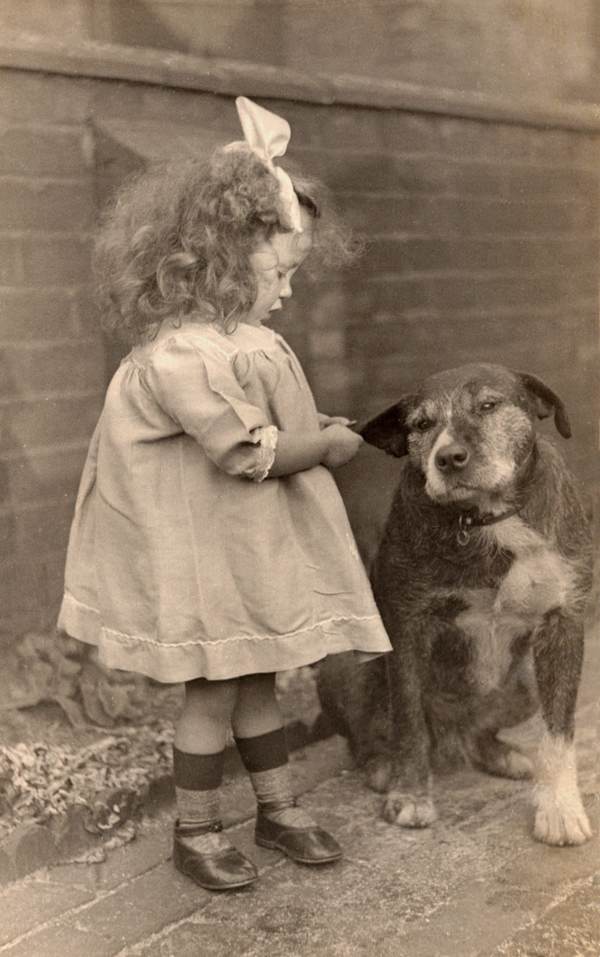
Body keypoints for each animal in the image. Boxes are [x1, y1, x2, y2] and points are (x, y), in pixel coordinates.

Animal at [316, 360, 592, 844]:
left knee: (482, 732)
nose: (448, 458)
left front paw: (559, 808)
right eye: (421, 425)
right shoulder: (406, 624)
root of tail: (451, 737)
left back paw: (504, 755)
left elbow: (560, 731)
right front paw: (410, 794)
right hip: (346, 664)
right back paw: (383, 765)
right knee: (367, 736)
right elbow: (408, 719)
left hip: (525, 683)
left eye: (488, 406)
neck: (485, 517)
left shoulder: (564, 621)